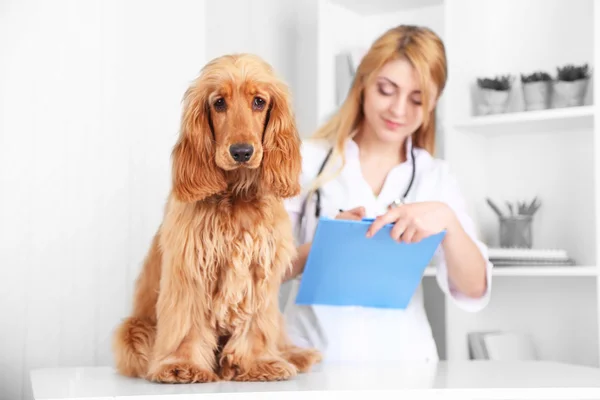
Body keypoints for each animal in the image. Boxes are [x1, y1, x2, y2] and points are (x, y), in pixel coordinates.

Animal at [110, 54, 322, 384]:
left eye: (259, 102)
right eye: (219, 103)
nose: (242, 151)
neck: (237, 195)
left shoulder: (258, 272)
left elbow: (256, 325)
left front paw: (258, 363)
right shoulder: (191, 268)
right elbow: (186, 322)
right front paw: (181, 365)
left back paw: (295, 356)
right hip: (133, 331)